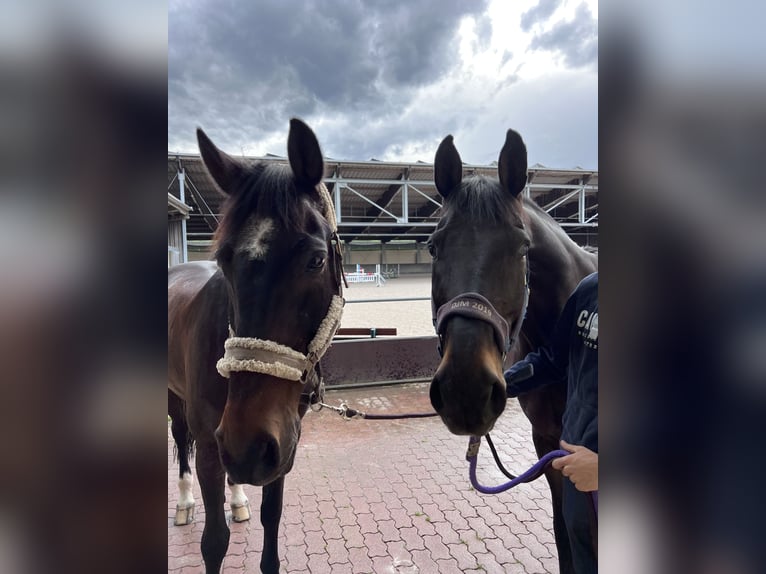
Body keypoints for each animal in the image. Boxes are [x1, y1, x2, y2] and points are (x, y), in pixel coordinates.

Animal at [172, 119, 348, 572]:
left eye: (317, 260)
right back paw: (184, 502)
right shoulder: (213, 444)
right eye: (224, 259)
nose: (246, 446)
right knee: (179, 440)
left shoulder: (284, 442)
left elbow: (273, 517)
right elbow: (214, 541)